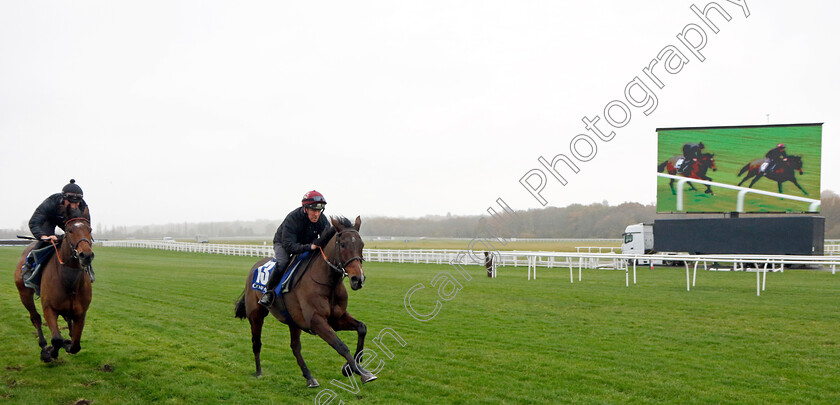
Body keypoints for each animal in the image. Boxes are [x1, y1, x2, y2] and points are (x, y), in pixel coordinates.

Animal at [14, 211, 94, 362]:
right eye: (70, 230)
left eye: (90, 230)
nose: (86, 255)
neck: (69, 280)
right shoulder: (49, 308)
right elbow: (56, 339)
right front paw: (49, 353)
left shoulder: (81, 312)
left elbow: (76, 345)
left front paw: (68, 343)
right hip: (24, 293)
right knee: (35, 318)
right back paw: (43, 344)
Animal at [230, 216, 374, 386]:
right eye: (343, 244)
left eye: (361, 245)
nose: (358, 279)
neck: (328, 284)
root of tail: (255, 267)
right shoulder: (317, 321)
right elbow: (341, 346)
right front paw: (361, 372)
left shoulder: (336, 319)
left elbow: (362, 328)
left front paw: (352, 367)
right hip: (256, 315)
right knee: (256, 343)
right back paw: (259, 372)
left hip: (293, 320)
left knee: (295, 347)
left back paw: (309, 377)